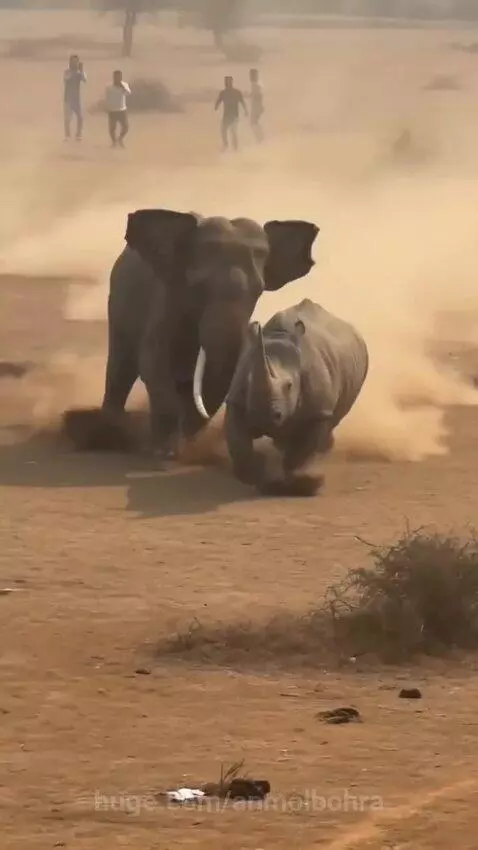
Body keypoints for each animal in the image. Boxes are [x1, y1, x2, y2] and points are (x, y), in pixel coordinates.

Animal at [63, 209, 319, 458]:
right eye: (199, 287)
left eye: (258, 291)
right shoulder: (166, 299)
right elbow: (154, 363)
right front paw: (164, 451)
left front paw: (183, 444)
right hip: (118, 304)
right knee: (121, 368)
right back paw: (110, 430)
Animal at [224, 298, 369, 495]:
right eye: (249, 380)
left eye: (289, 386)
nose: (262, 419)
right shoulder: (236, 400)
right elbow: (238, 441)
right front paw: (256, 477)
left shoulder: (318, 410)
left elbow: (304, 448)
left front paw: (304, 483)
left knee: (333, 419)